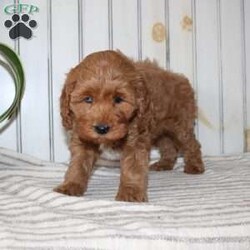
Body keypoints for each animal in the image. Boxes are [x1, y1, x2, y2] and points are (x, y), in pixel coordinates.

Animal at [53, 50, 204, 201]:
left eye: (118, 99)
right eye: (88, 99)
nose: (102, 128)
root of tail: (180, 78)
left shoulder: (135, 139)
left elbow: (132, 167)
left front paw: (130, 193)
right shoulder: (83, 138)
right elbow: (78, 165)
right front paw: (70, 185)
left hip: (180, 126)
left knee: (192, 144)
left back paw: (194, 166)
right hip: (160, 129)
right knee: (168, 145)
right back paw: (164, 164)